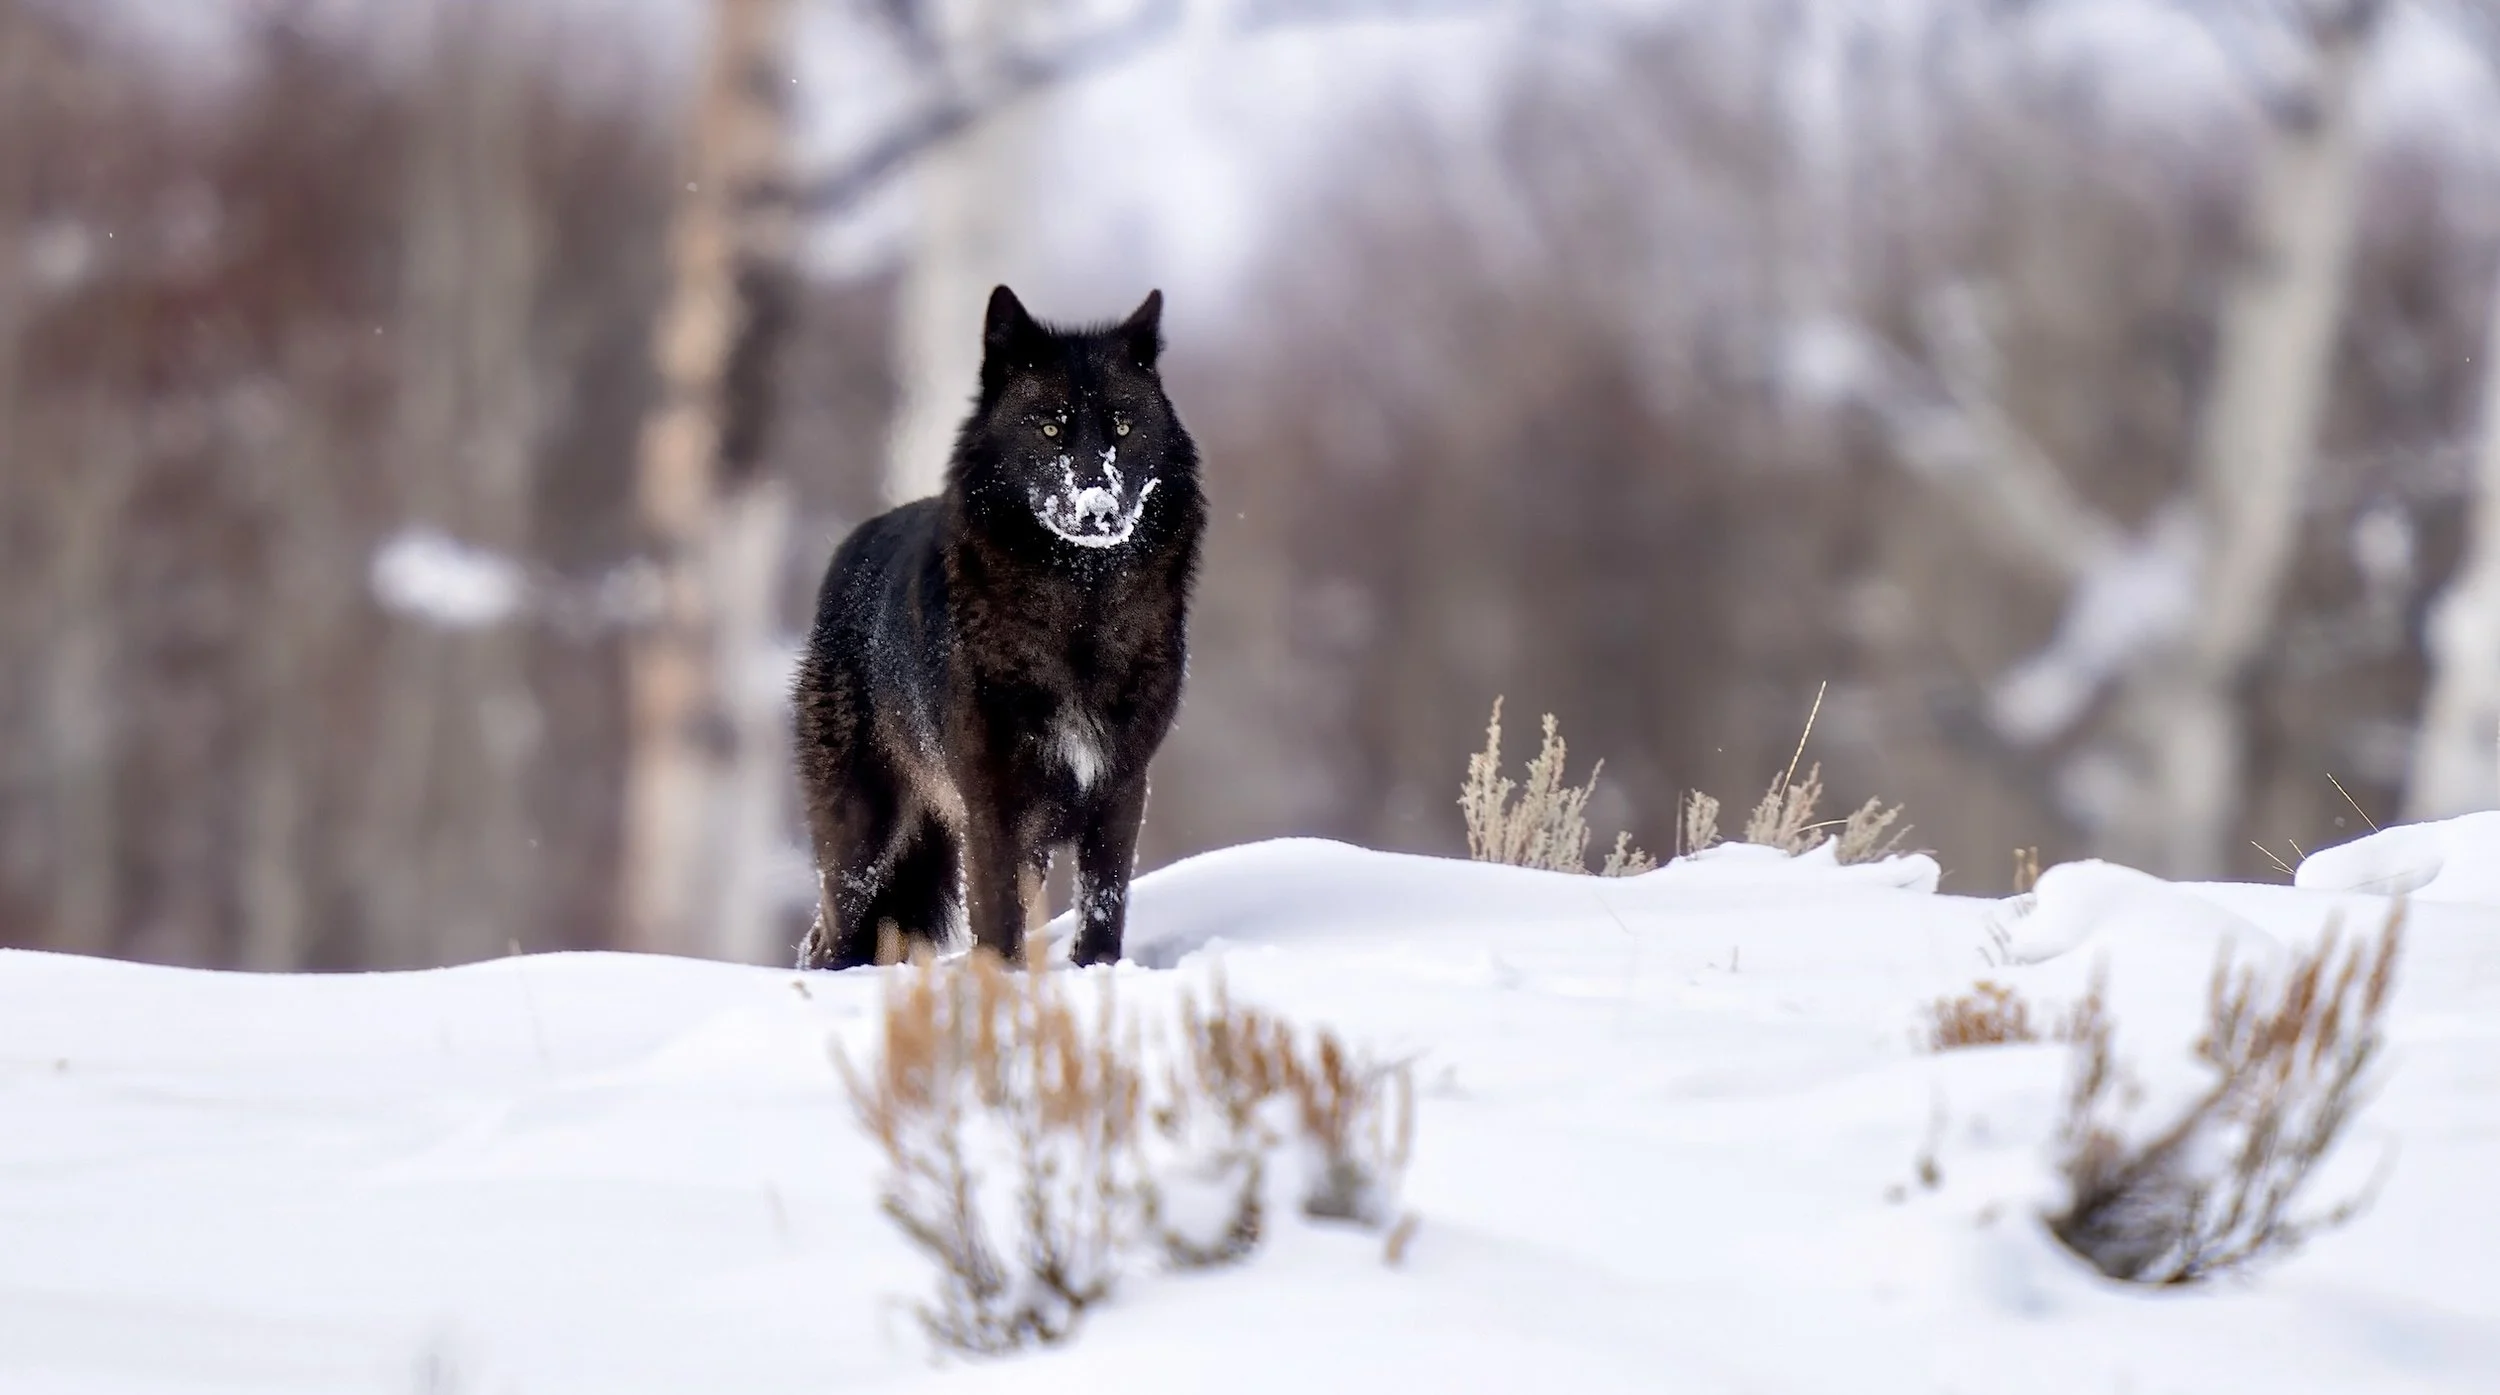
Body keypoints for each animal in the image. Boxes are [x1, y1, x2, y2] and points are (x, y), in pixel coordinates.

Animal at [792, 286, 1204, 970]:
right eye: (1050, 428)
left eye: (1122, 426)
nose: (1098, 510)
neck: (1080, 615)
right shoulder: (992, 803)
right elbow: (998, 918)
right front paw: (1001, 985)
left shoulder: (1122, 786)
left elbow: (1103, 905)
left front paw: (1098, 974)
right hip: (861, 839)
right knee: (824, 938)